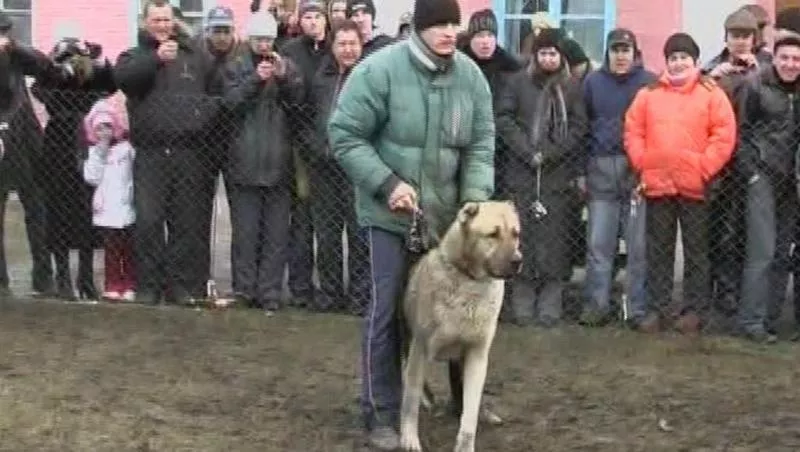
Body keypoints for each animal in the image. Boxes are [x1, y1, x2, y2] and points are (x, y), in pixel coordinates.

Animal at [400, 202, 524, 452]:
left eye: (516, 234)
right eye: (493, 234)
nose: (518, 260)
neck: (469, 281)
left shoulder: (477, 353)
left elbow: (471, 409)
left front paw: (465, 444)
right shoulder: (420, 347)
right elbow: (410, 398)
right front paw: (409, 439)